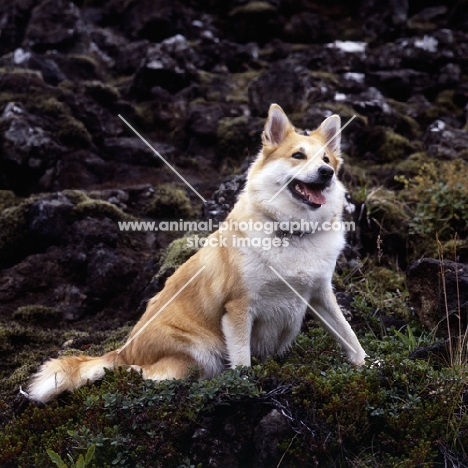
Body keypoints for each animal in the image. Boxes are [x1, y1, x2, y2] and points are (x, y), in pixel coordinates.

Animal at [27, 104, 368, 404]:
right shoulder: (238, 308)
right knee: (139, 374)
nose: (326, 172)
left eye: (326, 159)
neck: (292, 231)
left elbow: (348, 333)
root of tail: (122, 350)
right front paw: (247, 387)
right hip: (198, 350)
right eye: (298, 156)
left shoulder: (321, 295)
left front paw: (368, 366)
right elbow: (242, 361)